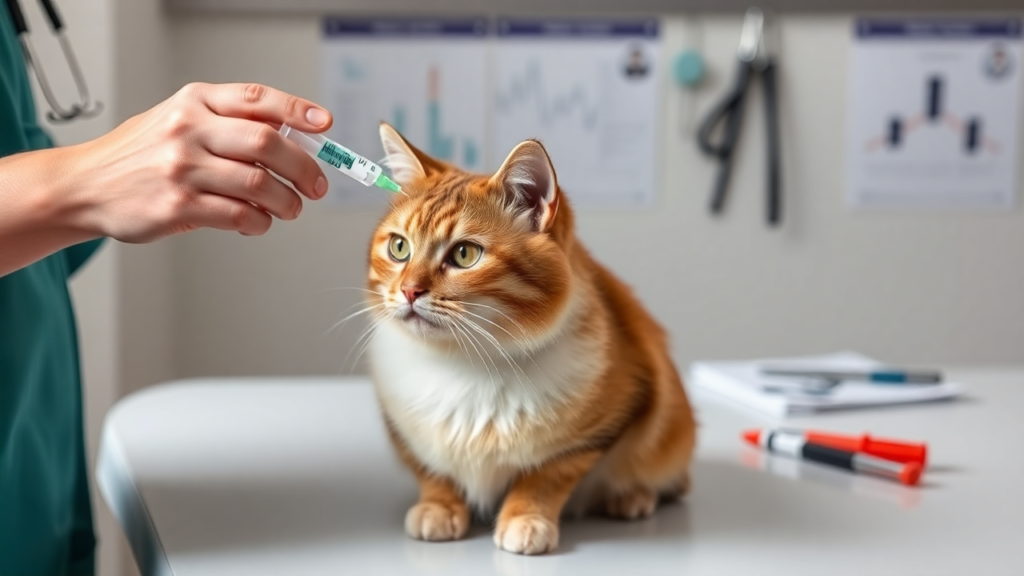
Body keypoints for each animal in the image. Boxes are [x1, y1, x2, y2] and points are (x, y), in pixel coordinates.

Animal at [364, 121, 692, 553]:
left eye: (465, 254)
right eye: (399, 247)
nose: (409, 291)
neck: (465, 363)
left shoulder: (612, 416)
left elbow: (547, 474)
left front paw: (526, 517)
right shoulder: (404, 429)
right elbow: (432, 470)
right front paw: (439, 506)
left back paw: (632, 497)